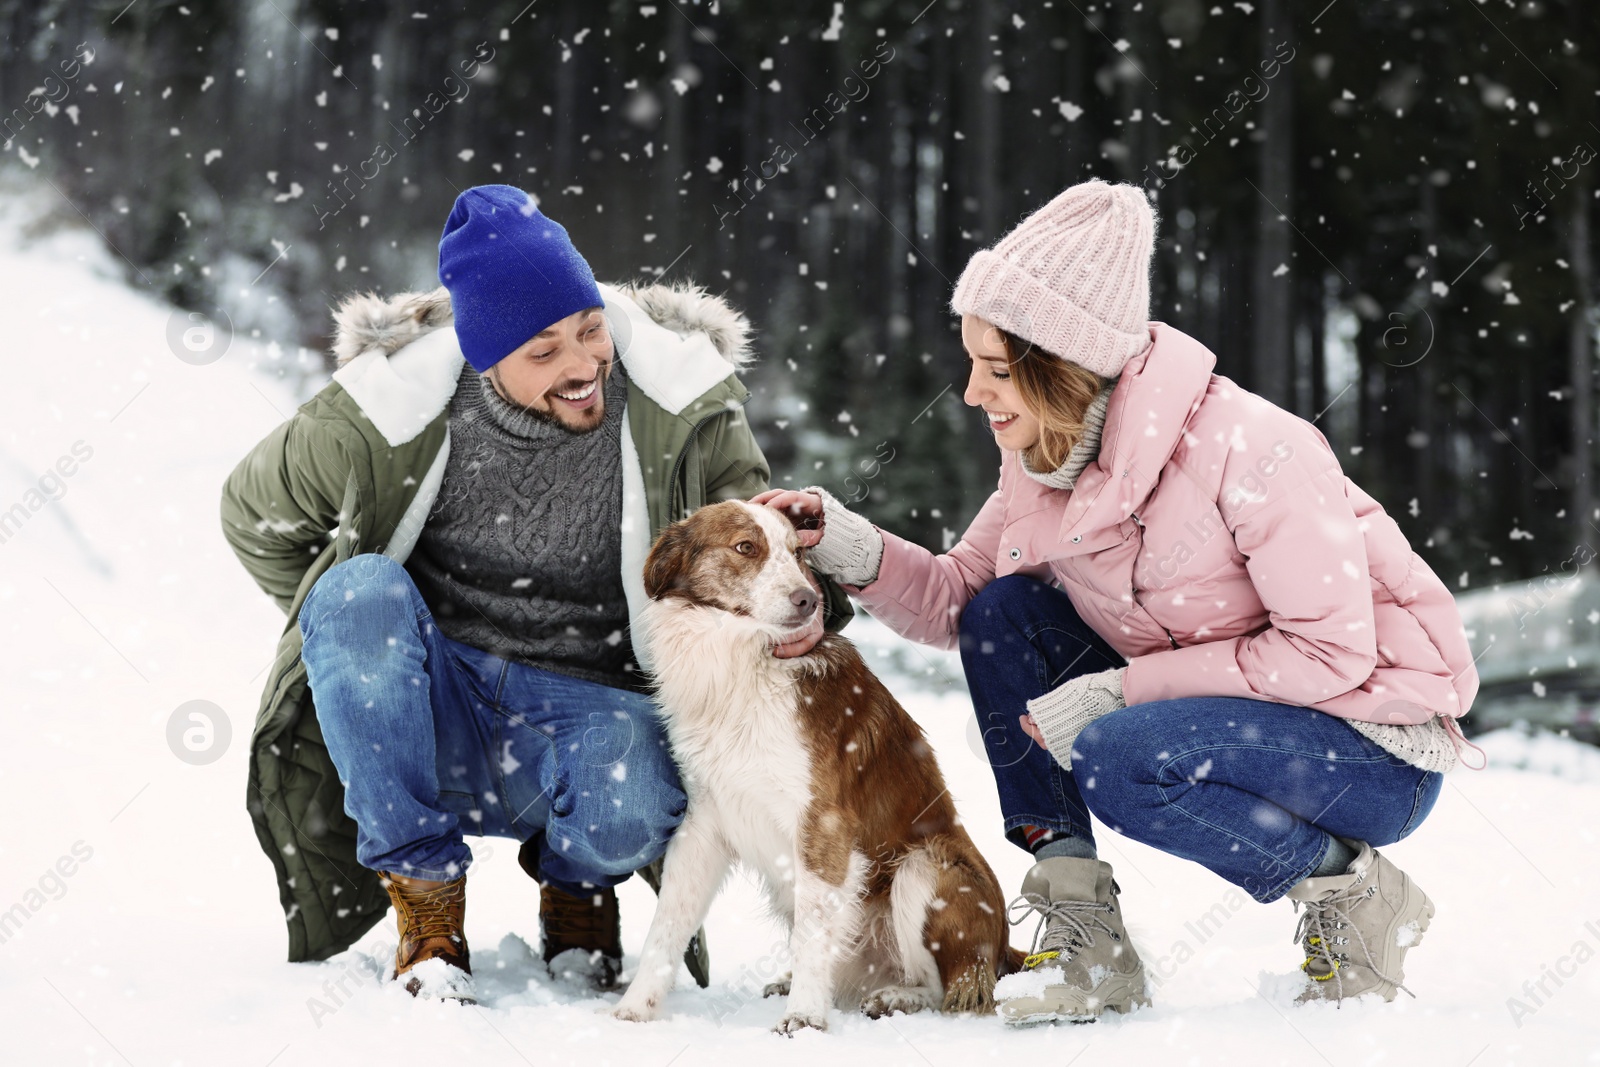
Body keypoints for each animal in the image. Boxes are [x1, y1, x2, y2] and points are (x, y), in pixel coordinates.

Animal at [611, 502, 1024, 1036]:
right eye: (746, 547)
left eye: (797, 553)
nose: (808, 600)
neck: (746, 661)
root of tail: (1004, 948)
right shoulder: (703, 824)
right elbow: (668, 924)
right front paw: (636, 1007)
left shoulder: (823, 824)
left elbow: (811, 934)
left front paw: (804, 1017)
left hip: (924, 868)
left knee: (953, 989)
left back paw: (896, 997)